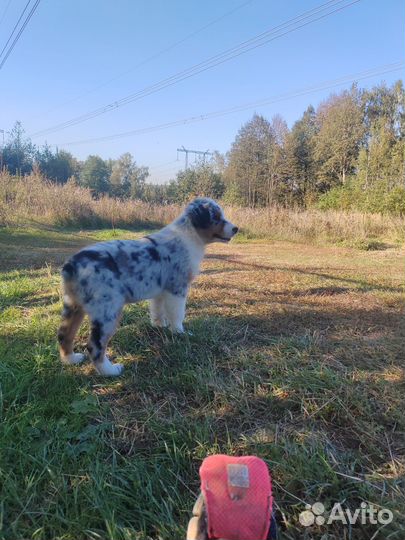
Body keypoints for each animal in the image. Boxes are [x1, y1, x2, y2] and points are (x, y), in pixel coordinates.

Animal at [56, 197, 237, 376]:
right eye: (216, 217)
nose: (236, 229)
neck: (188, 235)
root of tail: (72, 265)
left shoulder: (160, 291)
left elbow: (157, 310)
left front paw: (160, 326)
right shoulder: (177, 288)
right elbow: (177, 314)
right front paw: (179, 333)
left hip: (73, 305)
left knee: (64, 334)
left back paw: (71, 359)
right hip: (107, 311)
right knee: (94, 345)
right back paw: (111, 370)